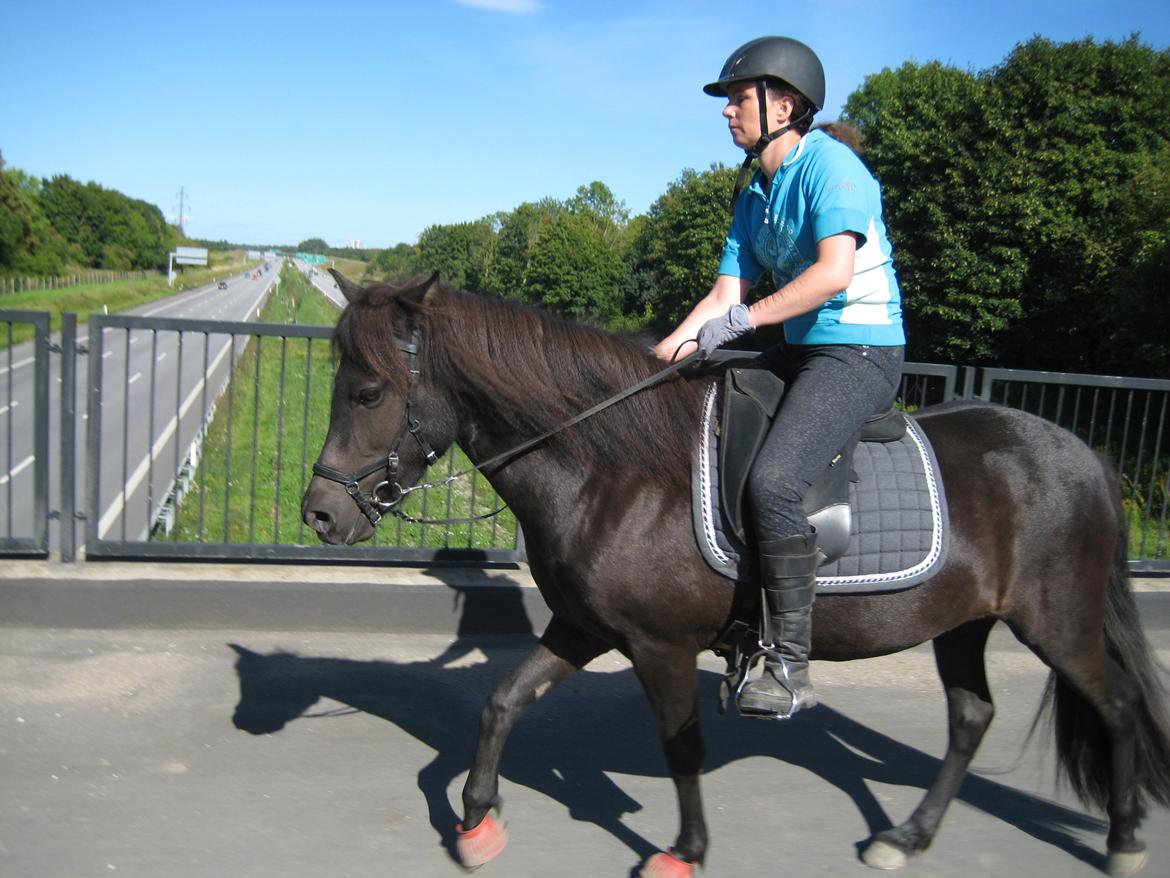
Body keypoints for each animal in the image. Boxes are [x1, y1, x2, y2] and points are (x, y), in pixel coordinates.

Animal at [301, 271, 1170, 875]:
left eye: (368, 391)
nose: (320, 514)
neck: (613, 468)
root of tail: (1085, 453)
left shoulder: (660, 645)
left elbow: (681, 746)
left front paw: (686, 849)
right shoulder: (583, 625)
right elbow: (502, 701)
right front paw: (478, 819)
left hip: (1057, 622)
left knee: (1120, 704)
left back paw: (1125, 837)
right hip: (963, 621)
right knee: (971, 718)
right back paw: (908, 835)